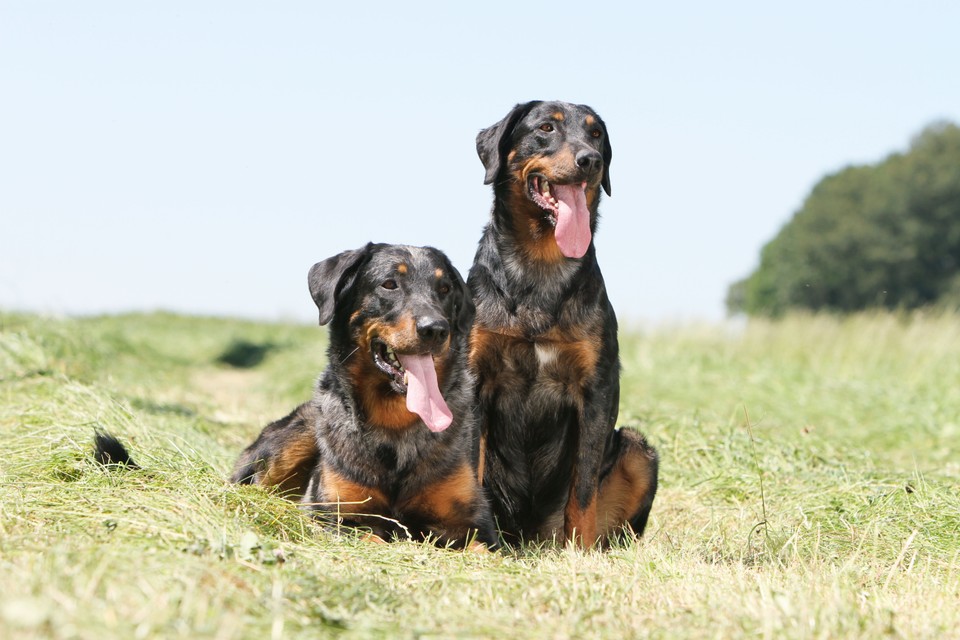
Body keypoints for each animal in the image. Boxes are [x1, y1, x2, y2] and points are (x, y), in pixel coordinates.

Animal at [231, 242, 496, 548]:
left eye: (444, 289)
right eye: (389, 284)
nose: (436, 329)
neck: (396, 425)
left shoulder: (475, 527)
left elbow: (480, 547)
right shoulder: (336, 517)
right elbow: (370, 536)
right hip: (298, 432)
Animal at [466, 100, 660, 544]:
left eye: (596, 135)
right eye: (545, 128)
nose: (590, 160)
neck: (541, 263)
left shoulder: (597, 388)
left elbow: (584, 486)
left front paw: (580, 550)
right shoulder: (474, 378)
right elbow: (473, 467)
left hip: (638, 451)